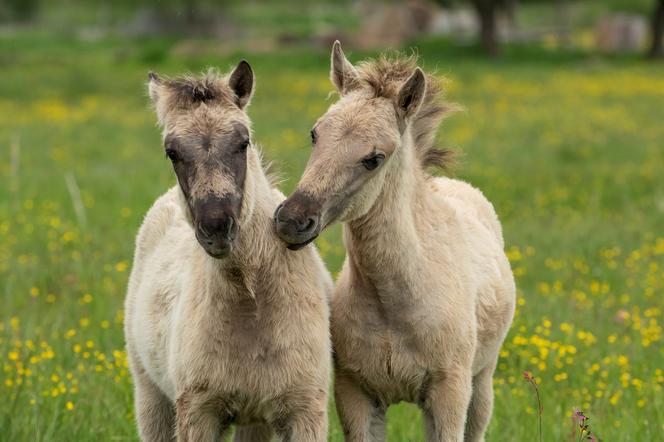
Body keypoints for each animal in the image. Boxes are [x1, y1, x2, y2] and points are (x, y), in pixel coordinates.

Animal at [124, 62, 332, 442]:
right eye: (172, 152)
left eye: (243, 142)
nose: (217, 226)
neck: (250, 304)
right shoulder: (198, 410)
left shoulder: (304, 409)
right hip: (151, 398)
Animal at [272, 42, 516, 442]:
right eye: (315, 134)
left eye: (374, 158)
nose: (292, 220)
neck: (393, 301)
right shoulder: (355, 393)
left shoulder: (449, 394)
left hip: (482, 381)